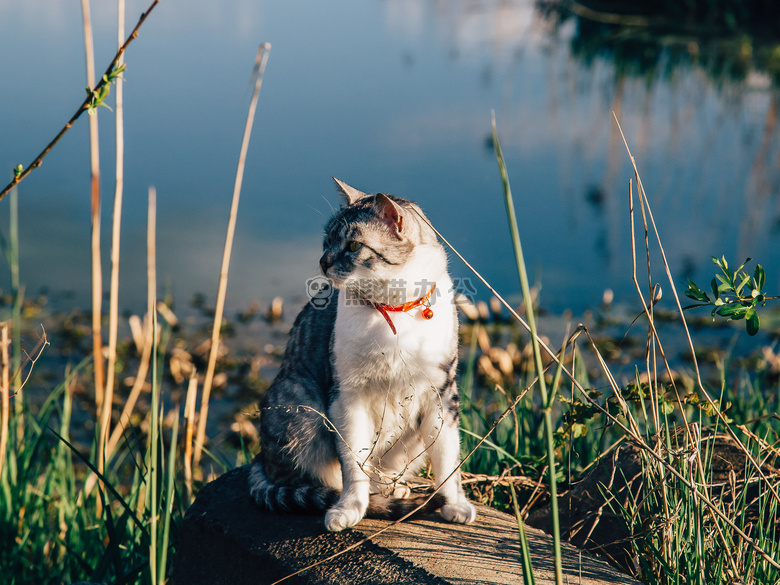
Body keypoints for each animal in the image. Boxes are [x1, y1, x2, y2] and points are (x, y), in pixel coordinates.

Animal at [250, 178, 478, 528]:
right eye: (327, 241)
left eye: (354, 246)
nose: (323, 262)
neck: (393, 311)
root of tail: (260, 458)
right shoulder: (347, 395)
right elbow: (353, 460)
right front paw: (350, 508)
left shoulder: (442, 393)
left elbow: (447, 455)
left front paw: (454, 503)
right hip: (301, 406)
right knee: (306, 477)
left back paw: (393, 490)